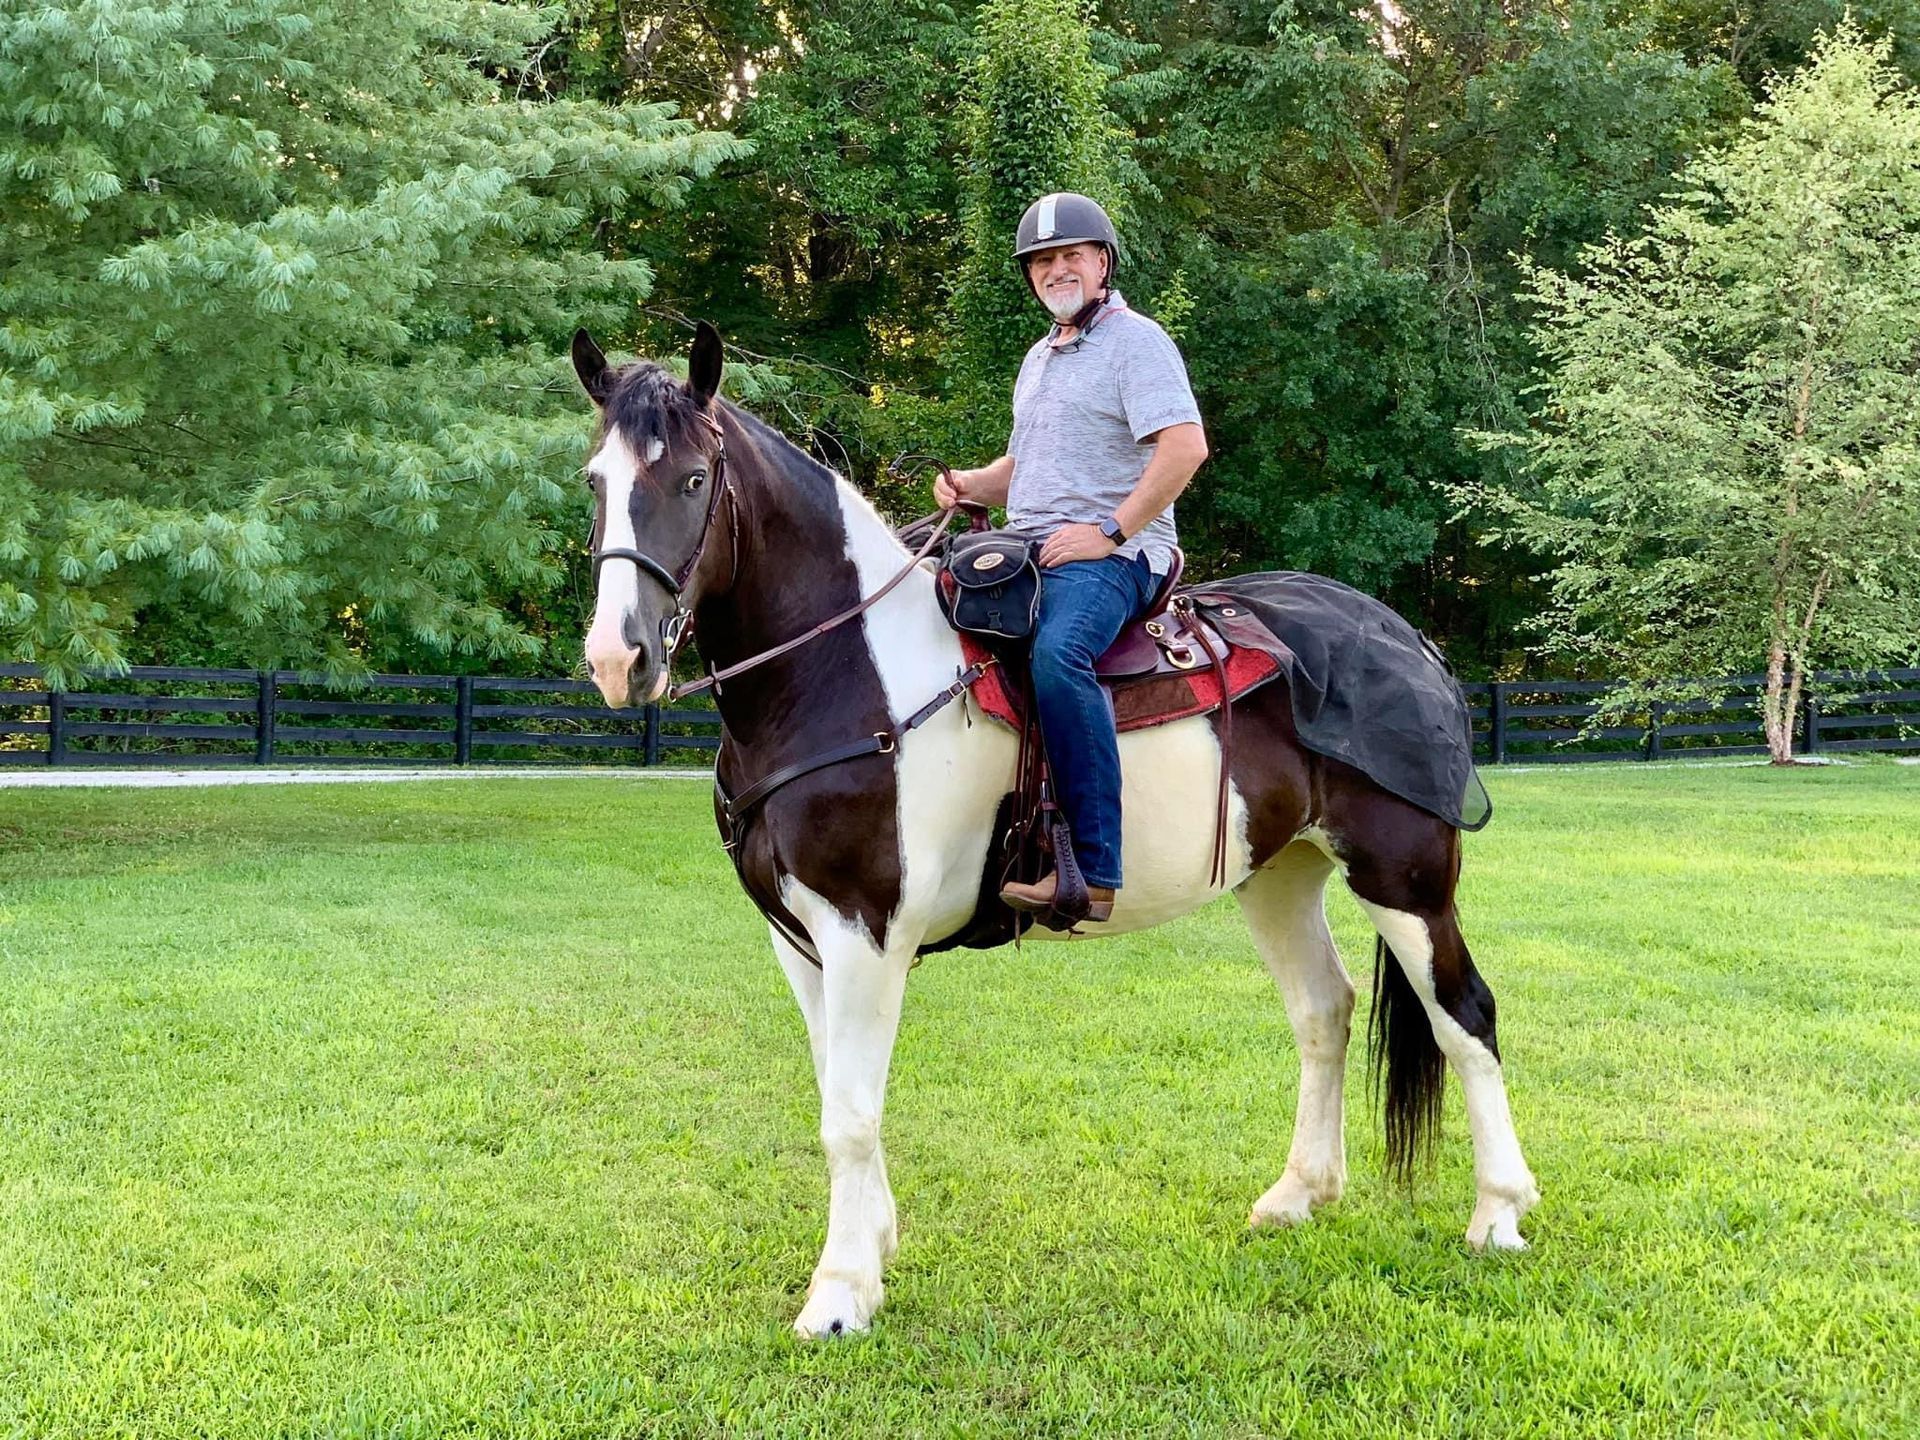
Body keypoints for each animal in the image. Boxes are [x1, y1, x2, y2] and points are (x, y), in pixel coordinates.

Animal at [572, 324, 1543, 1344]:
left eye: (690, 478)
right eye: (597, 479)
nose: (619, 657)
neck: (847, 675)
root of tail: (1405, 640)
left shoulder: (865, 932)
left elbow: (850, 1115)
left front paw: (838, 1293)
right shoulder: (798, 938)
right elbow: (839, 1091)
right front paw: (873, 1247)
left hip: (1406, 876)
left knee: (1466, 1017)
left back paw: (1498, 1213)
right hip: (1280, 874)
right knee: (1324, 1011)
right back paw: (1297, 1196)